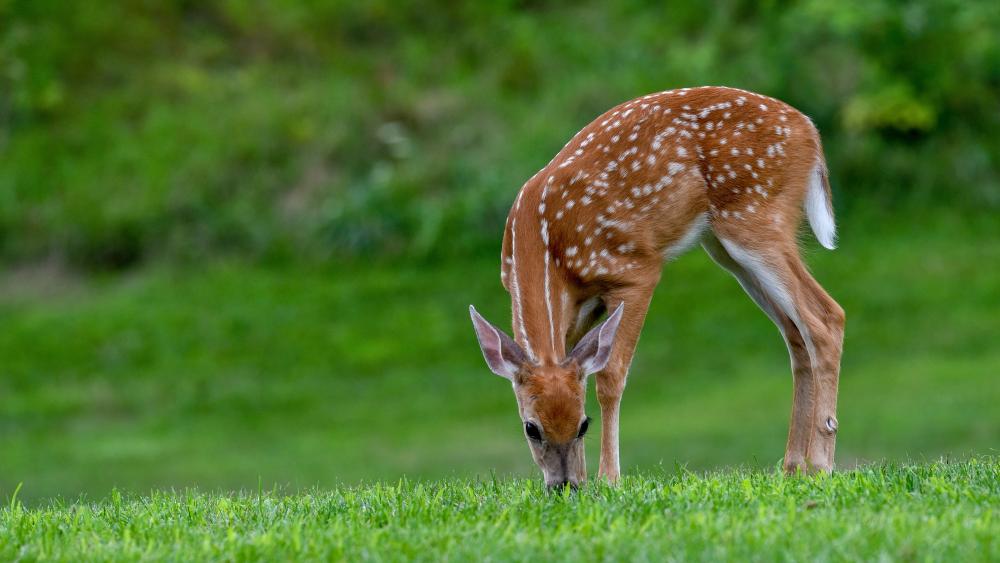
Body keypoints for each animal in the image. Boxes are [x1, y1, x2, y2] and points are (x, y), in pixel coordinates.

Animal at [469, 86, 845, 489]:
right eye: (531, 428)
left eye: (583, 425)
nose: (564, 485)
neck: (547, 249)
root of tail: (810, 131)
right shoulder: (579, 310)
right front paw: (588, 477)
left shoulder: (635, 271)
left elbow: (610, 377)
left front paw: (609, 478)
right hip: (727, 248)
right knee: (795, 334)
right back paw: (793, 466)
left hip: (755, 220)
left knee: (826, 317)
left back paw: (820, 462)